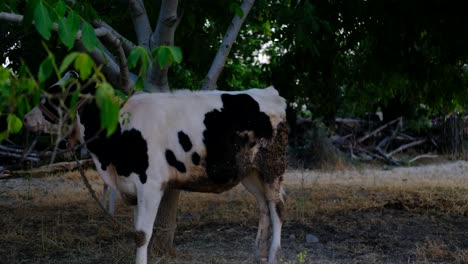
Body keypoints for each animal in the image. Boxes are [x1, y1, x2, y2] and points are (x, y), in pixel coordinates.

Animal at [25, 73, 288, 264]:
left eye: (53, 96)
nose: (26, 118)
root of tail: (270, 92)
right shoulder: (131, 187)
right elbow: (137, 232)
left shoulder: (150, 185)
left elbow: (142, 235)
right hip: (250, 171)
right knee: (263, 205)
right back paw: (259, 254)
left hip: (272, 166)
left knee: (278, 205)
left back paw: (274, 255)